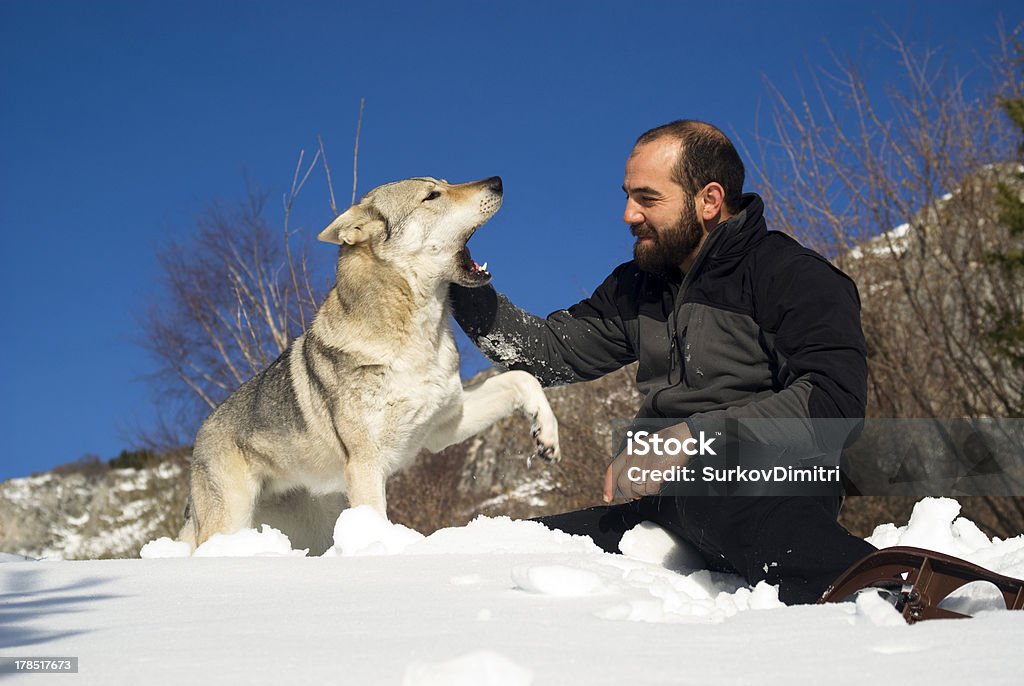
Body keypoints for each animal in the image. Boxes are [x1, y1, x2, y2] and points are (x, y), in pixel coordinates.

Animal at [176, 175, 561, 556]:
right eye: (432, 195)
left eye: (446, 183)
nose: (497, 181)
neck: (417, 338)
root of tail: (199, 437)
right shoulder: (366, 465)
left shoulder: (444, 426)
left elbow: (523, 378)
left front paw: (546, 433)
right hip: (232, 519)